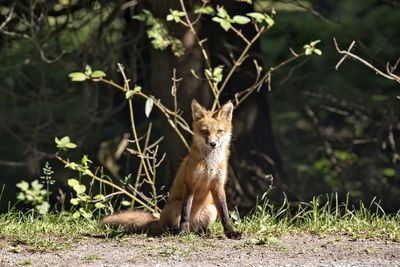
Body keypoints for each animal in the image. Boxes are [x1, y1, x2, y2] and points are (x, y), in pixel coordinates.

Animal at [101, 99, 242, 240]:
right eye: (205, 132)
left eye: (219, 131)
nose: (213, 144)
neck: (210, 163)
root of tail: (158, 220)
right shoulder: (190, 183)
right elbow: (185, 212)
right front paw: (183, 231)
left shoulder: (218, 185)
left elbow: (225, 214)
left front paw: (230, 232)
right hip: (175, 206)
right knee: (171, 226)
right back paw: (177, 230)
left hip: (211, 209)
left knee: (198, 228)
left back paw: (203, 231)